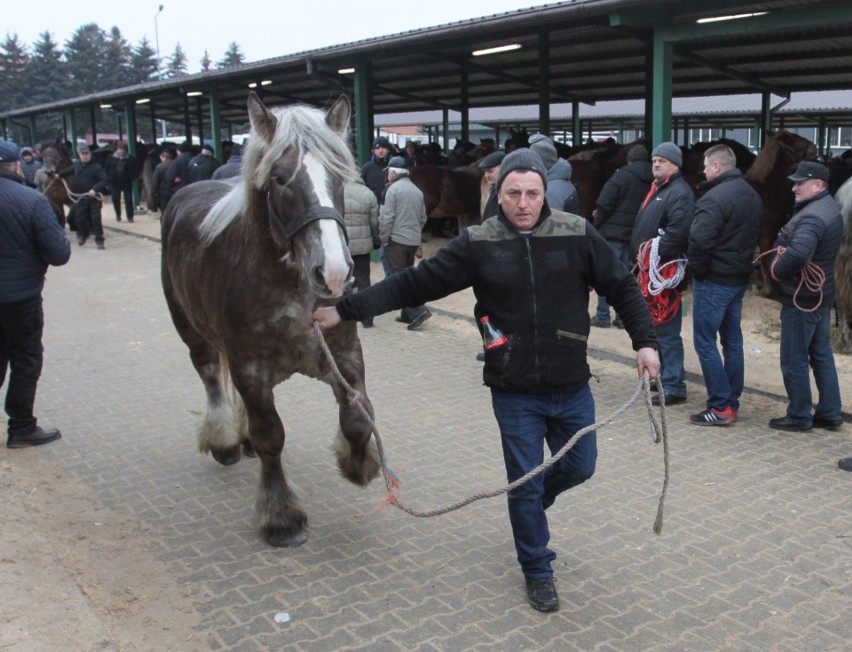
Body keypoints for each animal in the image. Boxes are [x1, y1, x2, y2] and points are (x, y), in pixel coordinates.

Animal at [161, 94, 380, 548]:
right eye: (280, 179)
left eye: (340, 175)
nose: (334, 273)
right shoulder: (250, 367)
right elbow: (270, 436)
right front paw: (281, 515)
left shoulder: (343, 355)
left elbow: (357, 416)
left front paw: (356, 463)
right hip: (193, 333)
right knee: (210, 376)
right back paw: (225, 439)